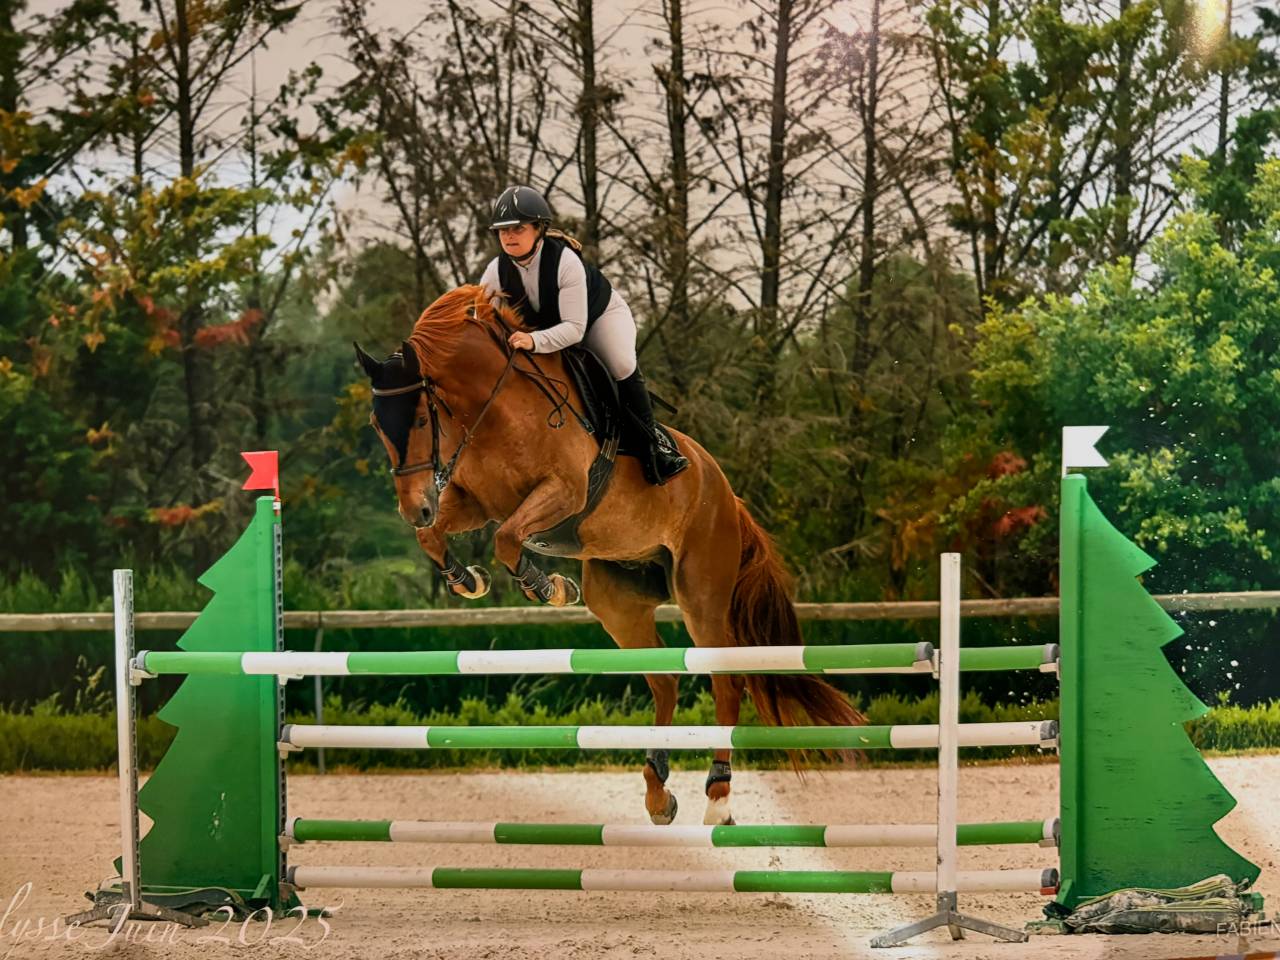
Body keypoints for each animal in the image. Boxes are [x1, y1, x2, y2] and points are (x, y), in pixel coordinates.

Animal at [355, 285, 864, 826]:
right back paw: (658, 793)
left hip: (701, 595)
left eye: (421, 418)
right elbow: (440, 540)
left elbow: (507, 539)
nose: (415, 509)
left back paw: (719, 799)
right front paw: (467, 580)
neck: (491, 408)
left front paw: (550, 588)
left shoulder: (562, 493)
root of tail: (728, 496)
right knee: (664, 681)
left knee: (726, 683)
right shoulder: (473, 502)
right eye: (376, 423)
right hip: (619, 601)